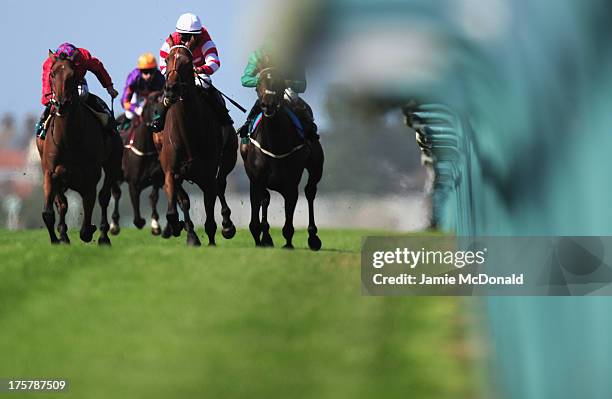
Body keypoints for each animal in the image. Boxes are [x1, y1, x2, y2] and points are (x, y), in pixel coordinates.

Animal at [36, 54, 123, 245]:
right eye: (52, 74)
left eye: (73, 74)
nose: (61, 104)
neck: (68, 140)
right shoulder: (50, 172)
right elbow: (48, 212)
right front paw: (57, 239)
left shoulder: (90, 175)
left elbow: (89, 208)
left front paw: (90, 230)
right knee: (62, 204)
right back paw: (63, 234)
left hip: (112, 164)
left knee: (104, 197)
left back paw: (103, 236)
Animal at [159, 46, 221, 247]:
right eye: (168, 59)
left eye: (188, 63)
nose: (170, 89)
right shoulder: (171, 172)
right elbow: (174, 210)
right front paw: (181, 230)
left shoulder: (208, 175)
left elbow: (210, 211)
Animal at [240, 68, 322, 250]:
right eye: (259, 83)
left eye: (279, 83)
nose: (268, 104)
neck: (274, 144)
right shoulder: (256, 179)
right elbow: (259, 203)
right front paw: (261, 239)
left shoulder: (291, 181)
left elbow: (289, 210)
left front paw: (288, 243)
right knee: (265, 199)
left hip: (316, 167)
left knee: (310, 192)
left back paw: (313, 237)